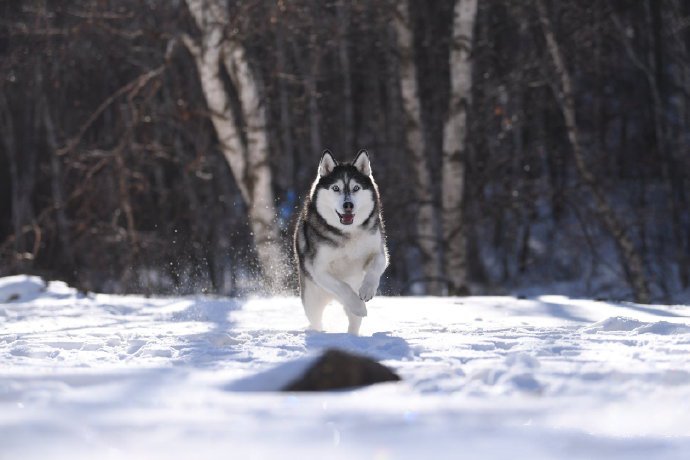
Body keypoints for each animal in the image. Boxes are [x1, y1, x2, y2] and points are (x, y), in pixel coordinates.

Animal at [292, 151, 388, 334]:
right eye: (335, 188)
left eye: (356, 188)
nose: (348, 205)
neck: (347, 234)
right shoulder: (318, 269)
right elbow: (343, 287)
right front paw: (358, 306)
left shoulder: (379, 252)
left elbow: (376, 266)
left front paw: (367, 290)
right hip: (311, 301)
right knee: (317, 319)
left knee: (353, 323)